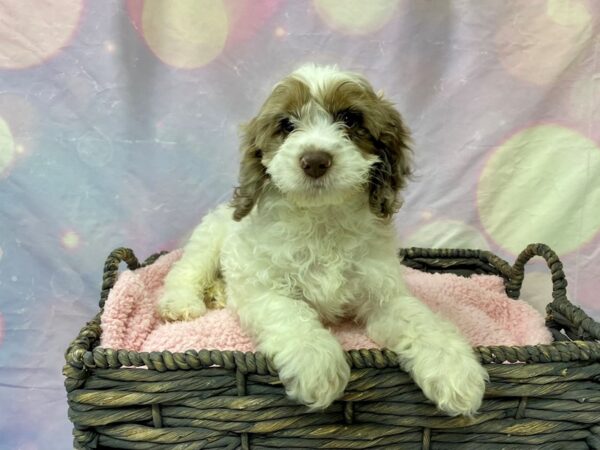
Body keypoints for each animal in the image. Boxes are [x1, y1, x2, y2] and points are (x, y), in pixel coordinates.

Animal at [157, 63, 486, 414]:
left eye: (351, 119)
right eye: (287, 125)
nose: (315, 161)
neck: (322, 218)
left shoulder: (383, 293)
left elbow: (420, 319)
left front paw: (454, 369)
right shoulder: (263, 290)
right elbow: (291, 314)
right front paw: (317, 363)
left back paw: (218, 294)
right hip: (208, 240)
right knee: (185, 272)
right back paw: (180, 304)